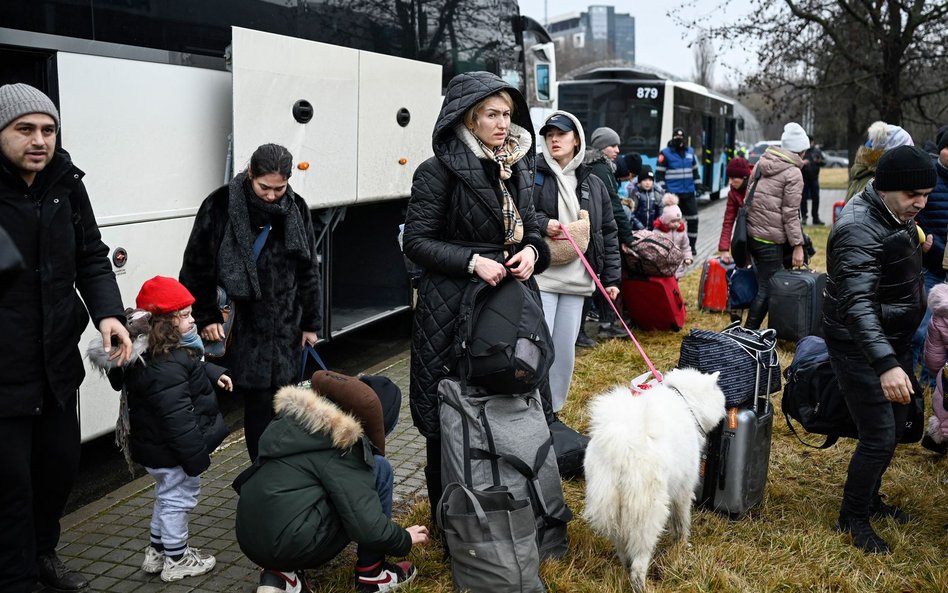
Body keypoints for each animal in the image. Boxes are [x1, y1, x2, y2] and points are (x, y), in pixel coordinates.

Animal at [576, 368, 724, 588]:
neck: (686, 401)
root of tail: (622, 447)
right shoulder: (683, 491)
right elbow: (681, 522)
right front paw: (682, 546)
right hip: (648, 512)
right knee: (639, 558)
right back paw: (640, 584)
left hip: (613, 508)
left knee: (624, 549)